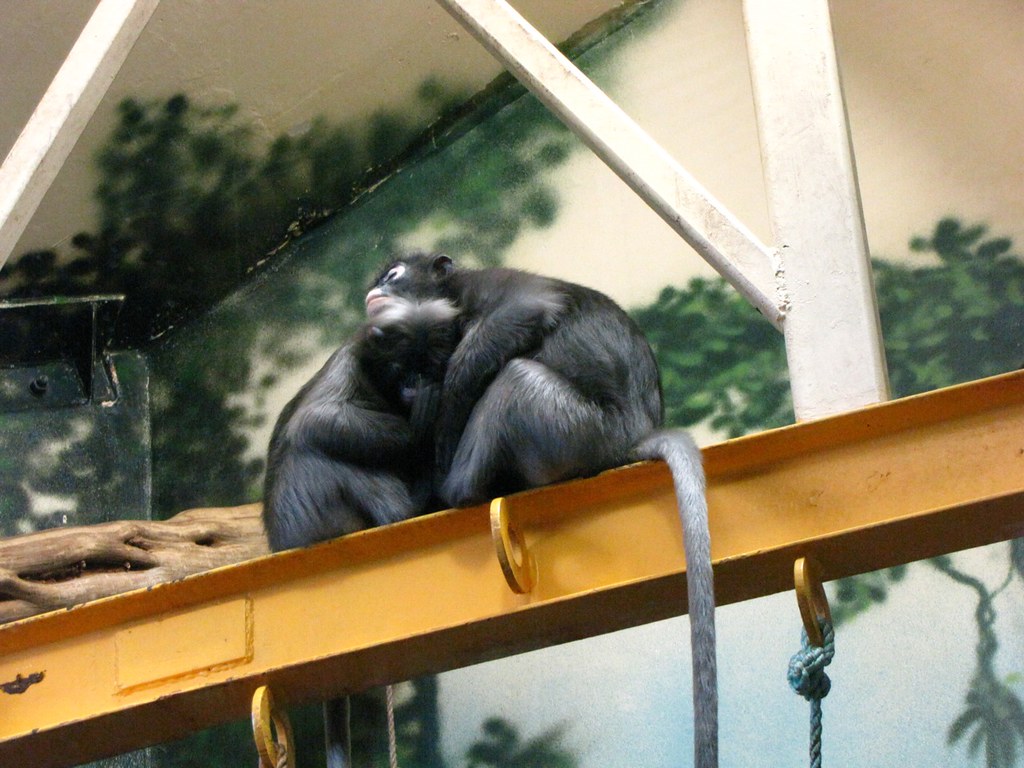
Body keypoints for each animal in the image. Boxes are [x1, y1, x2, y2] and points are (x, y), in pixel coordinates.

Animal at [372, 250, 718, 768]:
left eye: (394, 275)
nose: (375, 291)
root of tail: (633, 438)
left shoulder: (486, 288)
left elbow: (528, 309)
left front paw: (443, 412)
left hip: (572, 428)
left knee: (514, 377)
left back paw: (456, 489)